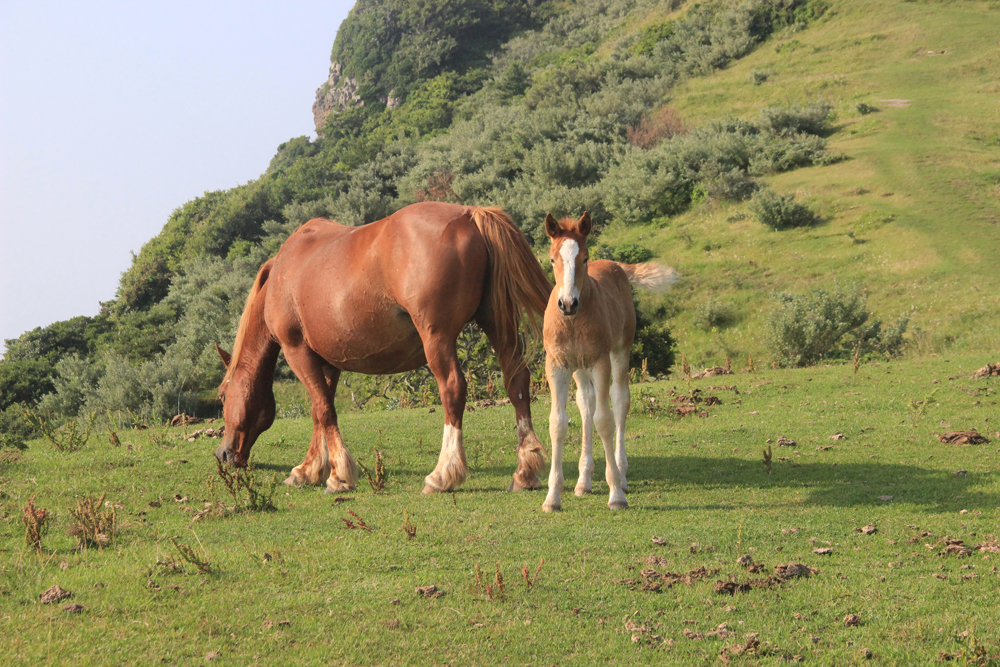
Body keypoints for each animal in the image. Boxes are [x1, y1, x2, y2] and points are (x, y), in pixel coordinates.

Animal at [214, 204, 552, 496]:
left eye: (223, 395)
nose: (223, 454)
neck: (282, 275)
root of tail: (471, 214)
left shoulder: (297, 350)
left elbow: (323, 410)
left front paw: (338, 475)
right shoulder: (327, 361)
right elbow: (319, 410)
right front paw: (310, 470)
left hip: (438, 338)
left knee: (453, 389)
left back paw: (443, 474)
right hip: (497, 323)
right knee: (517, 381)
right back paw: (525, 471)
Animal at [540, 214, 680, 512]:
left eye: (584, 258)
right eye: (552, 260)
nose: (567, 303)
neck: (573, 321)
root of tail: (617, 266)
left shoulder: (600, 361)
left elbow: (604, 420)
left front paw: (616, 494)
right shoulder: (557, 365)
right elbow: (558, 423)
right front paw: (552, 497)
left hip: (620, 351)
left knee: (619, 401)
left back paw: (621, 473)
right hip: (580, 368)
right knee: (586, 404)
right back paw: (583, 481)